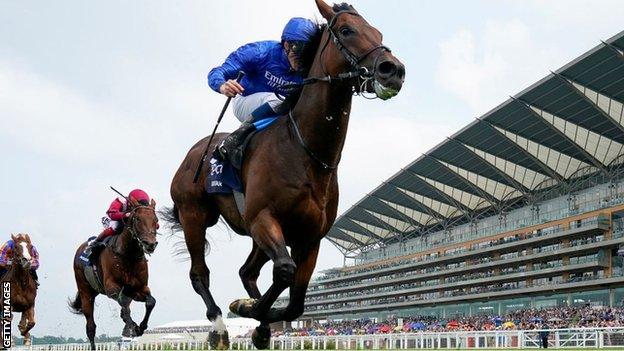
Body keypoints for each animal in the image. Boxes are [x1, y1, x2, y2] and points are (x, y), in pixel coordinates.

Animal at [69, 197, 160, 350]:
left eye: (156, 220)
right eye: (137, 219)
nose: (150, 244)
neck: (128, 255)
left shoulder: (138, 288)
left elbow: (150, 302)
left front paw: (140, 327)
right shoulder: (111, 287)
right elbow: (123, 302)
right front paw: (132, 327)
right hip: (85, 292)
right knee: (91, 327)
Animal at [163, 0, 404, 350]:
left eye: (379, 33)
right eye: (347, 30)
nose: (393, 69)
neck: (305, 152)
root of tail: (193, 153)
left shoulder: (309, 237)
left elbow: (296, 301)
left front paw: (257, 317)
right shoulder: (264, 218)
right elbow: (286, 272)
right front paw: (246, 309)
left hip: (253, 233)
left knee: (247, 272)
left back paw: (257, 321)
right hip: (195, 216)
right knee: (200, 274)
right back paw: (219, 326)